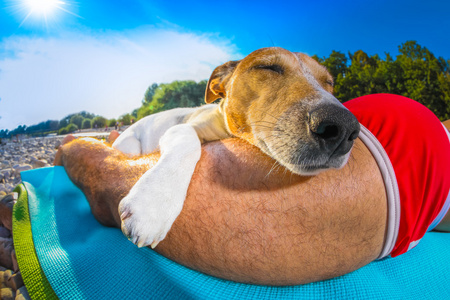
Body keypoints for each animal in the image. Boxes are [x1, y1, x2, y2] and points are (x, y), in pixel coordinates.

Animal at [113, 47, 362, 248]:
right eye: (268, 67)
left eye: (329, 82)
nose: (343, 127)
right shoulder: (183, 128)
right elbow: (189, 143)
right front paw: (153, 202)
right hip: (130, 144)